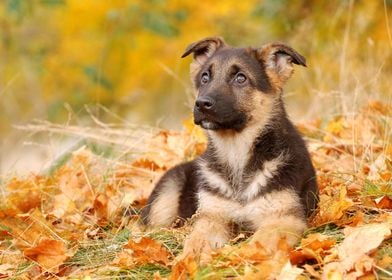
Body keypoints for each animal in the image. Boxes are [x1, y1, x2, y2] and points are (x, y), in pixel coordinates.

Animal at [141, 37, 318, 256]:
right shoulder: (212, 218)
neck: (236, 150)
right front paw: (187, 261)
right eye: (205, 77)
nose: (201, 104)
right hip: (166, 194)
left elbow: (256, 244)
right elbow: (195, 243)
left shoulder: (284, 218)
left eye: (240, 78)